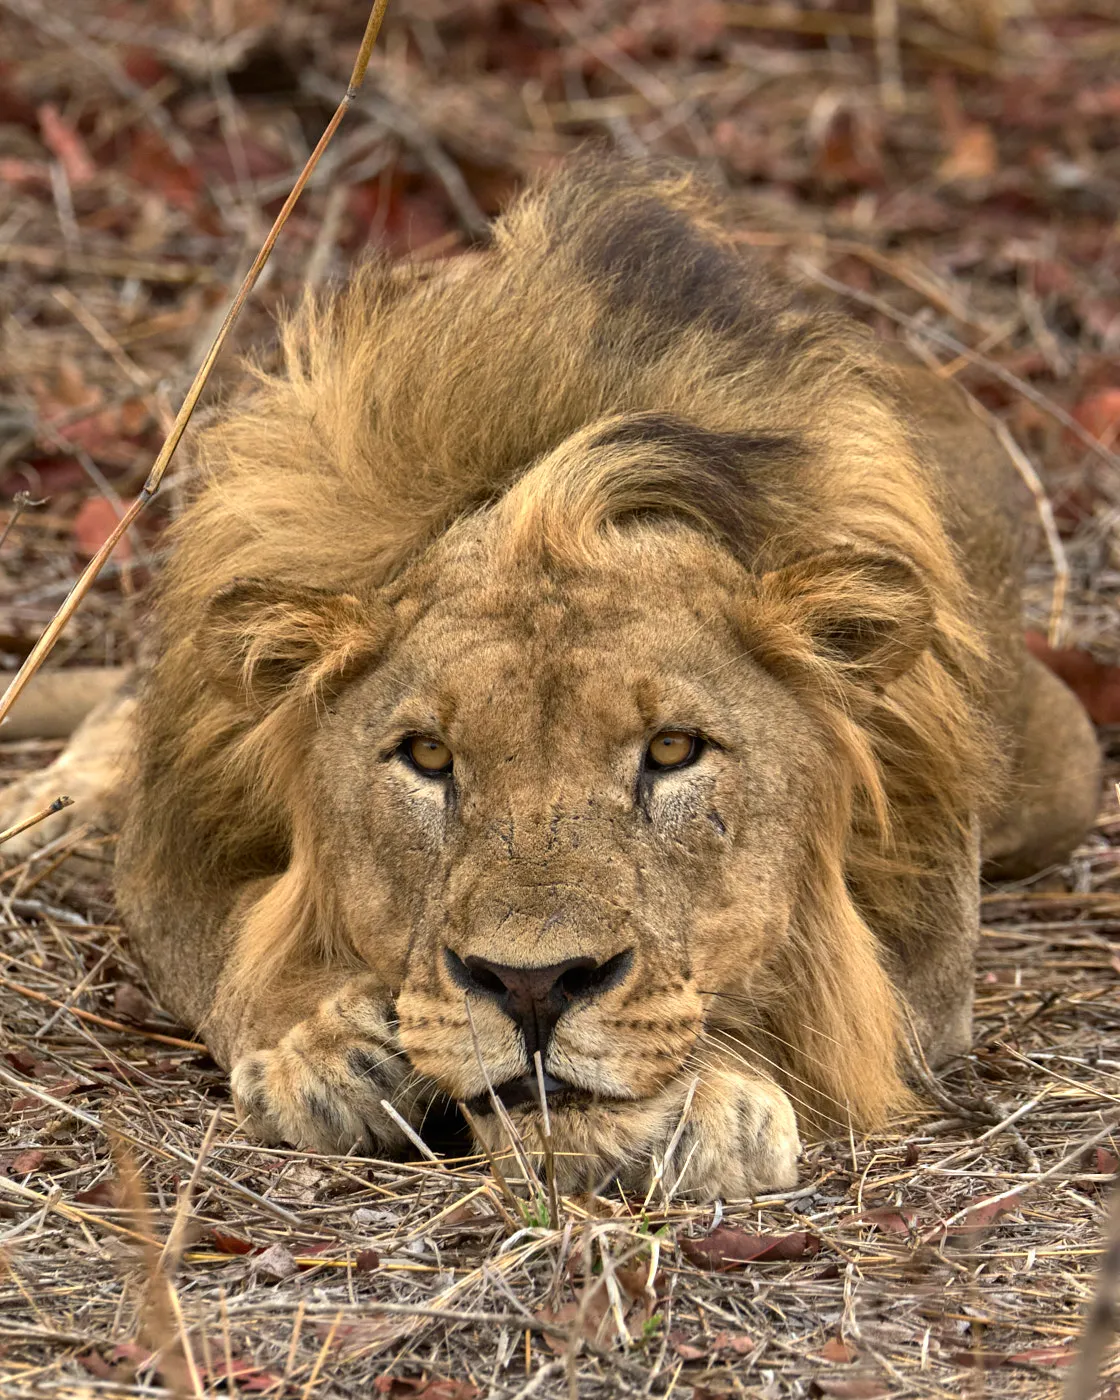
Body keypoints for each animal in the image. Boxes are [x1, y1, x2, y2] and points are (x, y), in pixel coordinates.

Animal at [1, 159, 1101, 1200]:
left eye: (673, 750)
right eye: (428, 755)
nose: (533, 986)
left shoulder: (927, 957)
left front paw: (703, 1101)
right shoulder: (172, 855)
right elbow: (234, 955)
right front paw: (324, 1051)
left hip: (1061, 770)